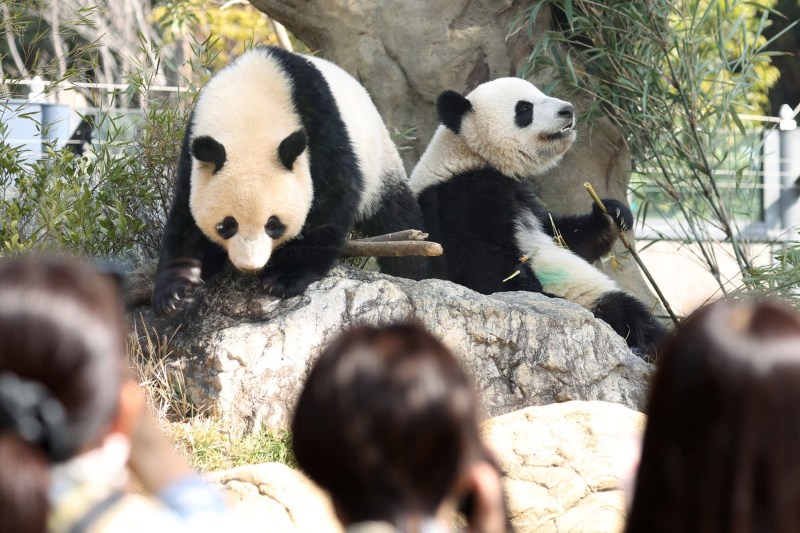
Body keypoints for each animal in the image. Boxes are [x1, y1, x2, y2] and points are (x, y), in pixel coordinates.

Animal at [153, 46, 428, 316]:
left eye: (273, 224)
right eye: (227, 225)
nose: (250, 265)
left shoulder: (319, 125)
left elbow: (333, 197)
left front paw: (285, 279)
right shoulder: (193, 153)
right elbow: (185, 216)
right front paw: (176, 290)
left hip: (379, 162)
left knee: (397, 218)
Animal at [409, 77, 665, 356]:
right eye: (524, 108)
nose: (568, 110)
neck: (470, 156)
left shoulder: (526, 199)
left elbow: (565, 236)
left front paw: (613, 213)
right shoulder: (460, 199)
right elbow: (486, 270)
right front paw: (534, 289)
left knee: (633, 314)